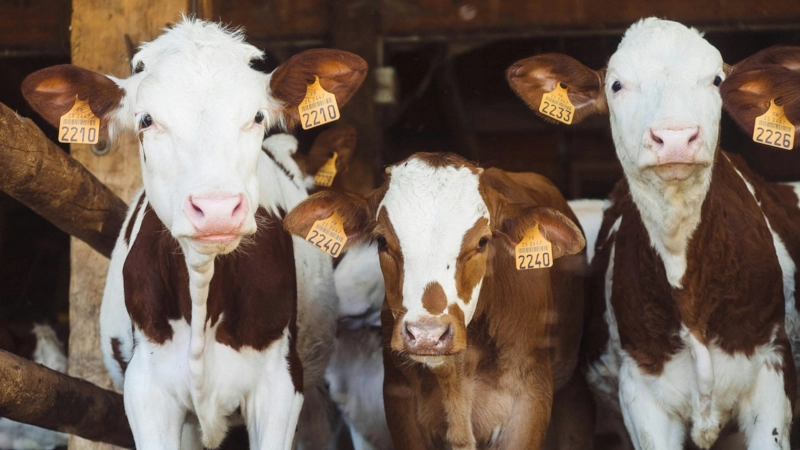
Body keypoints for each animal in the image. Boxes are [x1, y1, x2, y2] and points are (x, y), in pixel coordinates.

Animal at [284, 152, 592, 450]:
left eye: (482, 242)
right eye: (382, 241)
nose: (427, 335)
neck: (456, 375)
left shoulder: (529, 403)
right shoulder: (399, 404)